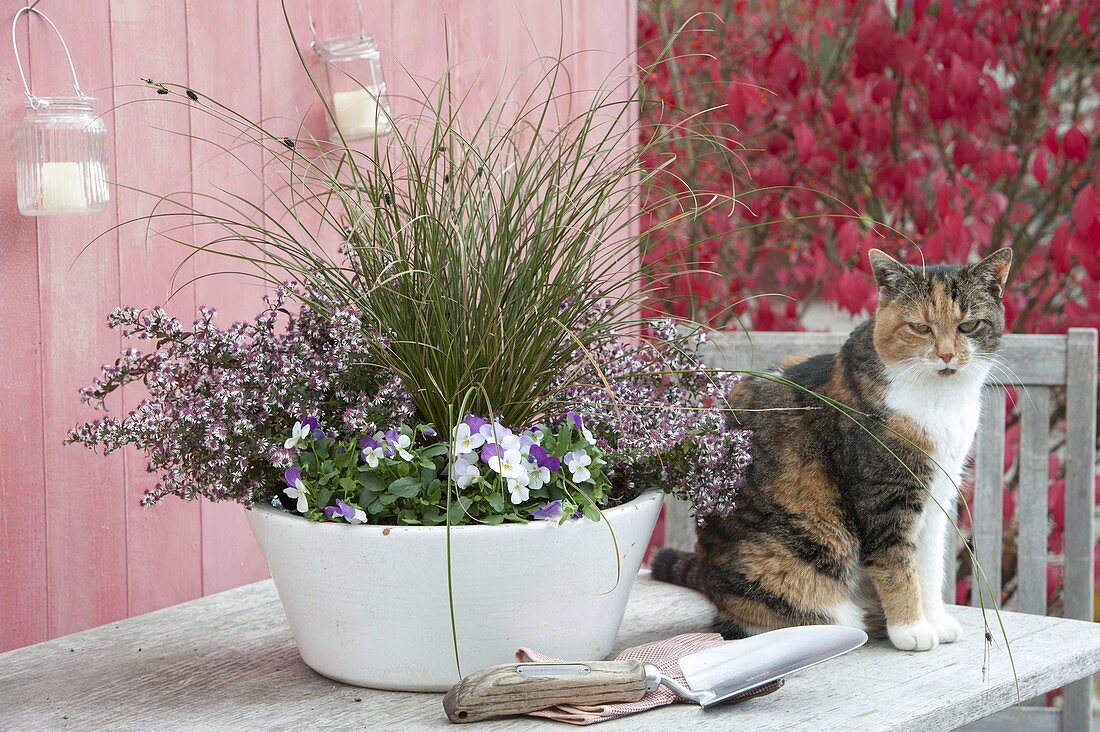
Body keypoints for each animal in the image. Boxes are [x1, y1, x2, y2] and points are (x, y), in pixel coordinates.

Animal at [651, 246, 1012, 651]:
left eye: (968, 326)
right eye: (920, 327)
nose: (947, 356)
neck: (941, 402)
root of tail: (710, 584)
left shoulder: (938, 497)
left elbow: (930, 564)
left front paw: (935, 619)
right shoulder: (885, 494)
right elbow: (896, 563)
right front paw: (911, 628)